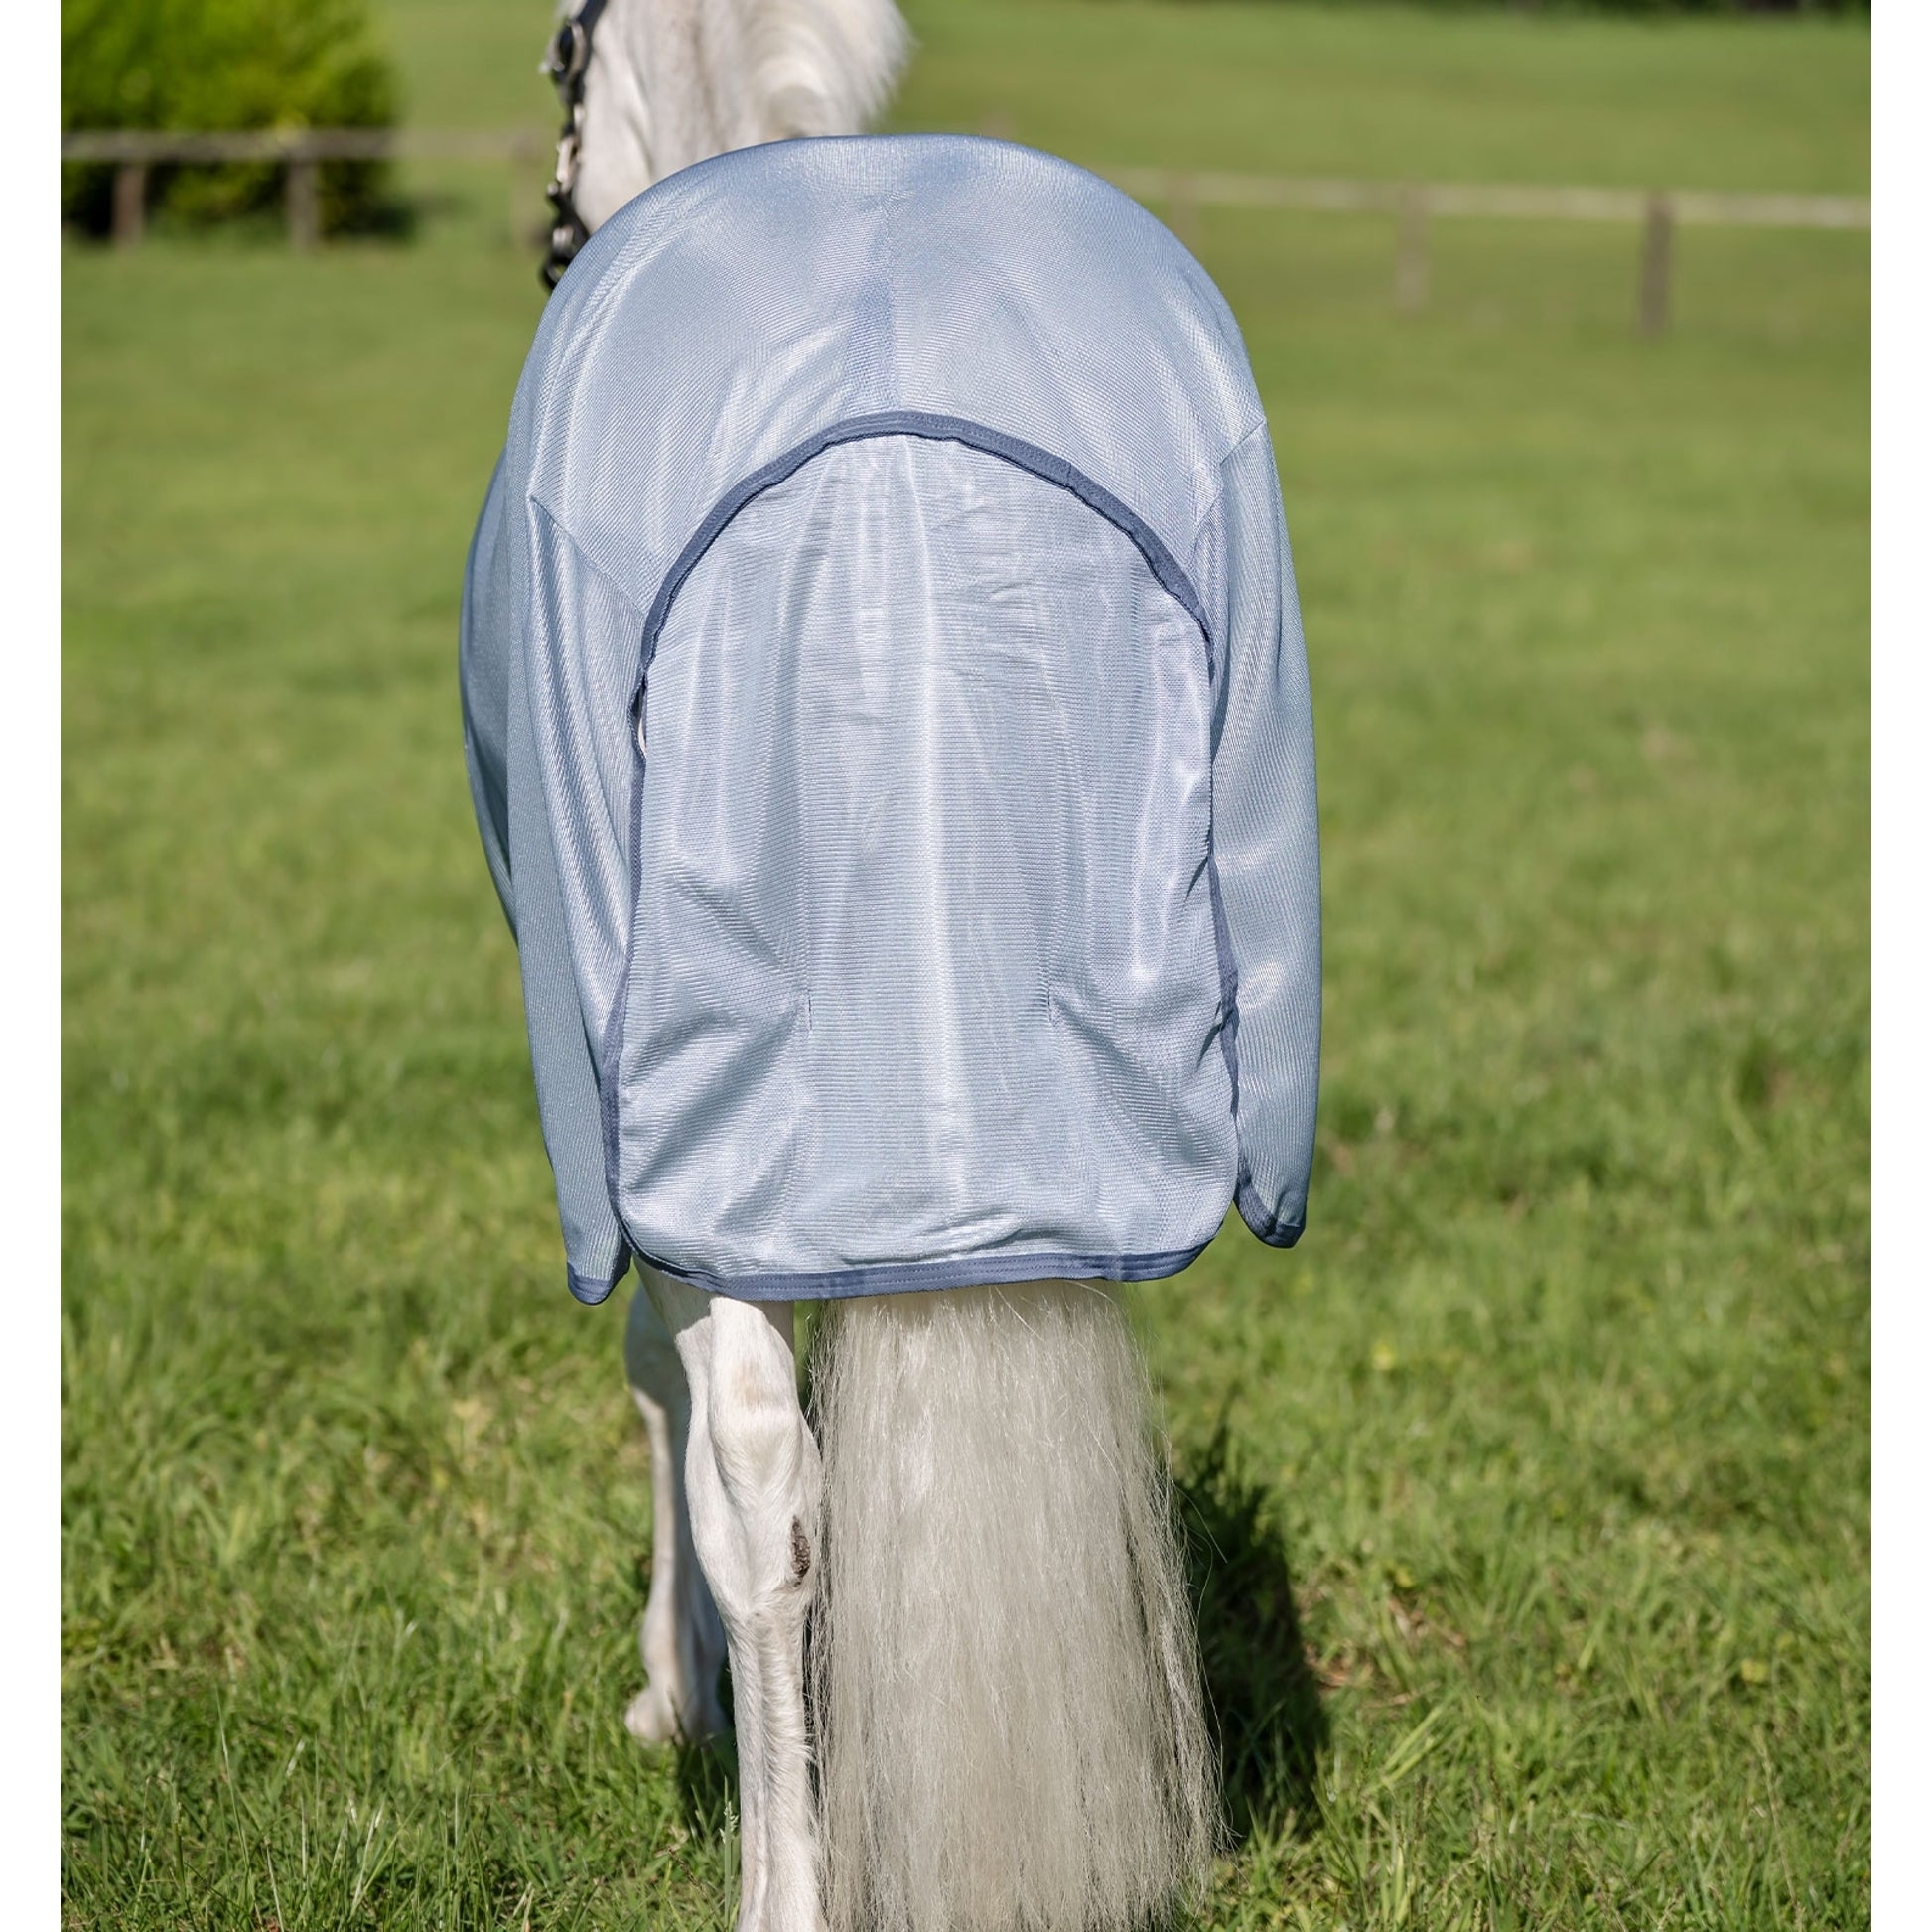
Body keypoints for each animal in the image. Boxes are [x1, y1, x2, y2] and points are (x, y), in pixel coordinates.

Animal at [460, 11, 1322, 1932]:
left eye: (561, 63)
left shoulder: (630, 1134)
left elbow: (671, 1391)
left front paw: (676, 1698)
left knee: (762, 1471)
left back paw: (783, 1875)